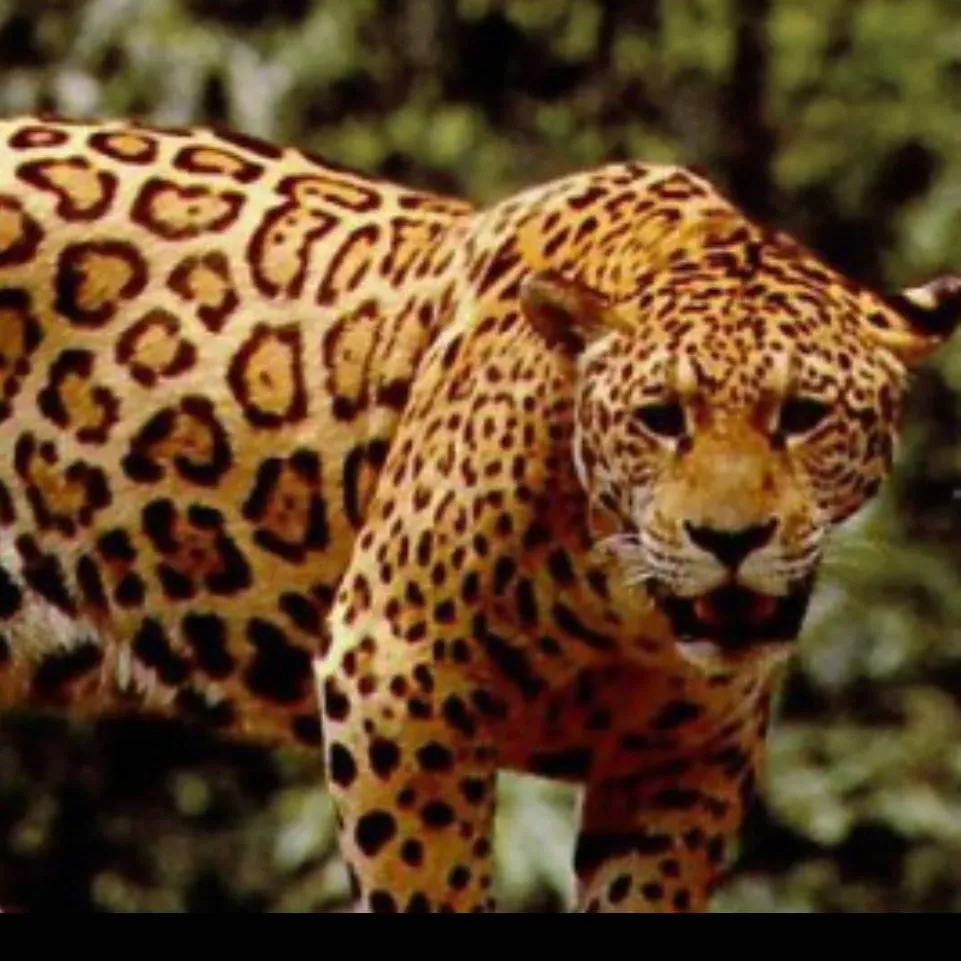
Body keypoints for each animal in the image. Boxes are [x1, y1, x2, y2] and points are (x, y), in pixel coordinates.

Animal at [0, 115, 956, 913]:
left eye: (801, 416)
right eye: (660, 417)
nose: (729, 541)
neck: (622, 603)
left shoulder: (688, 755)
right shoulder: (394, 673)